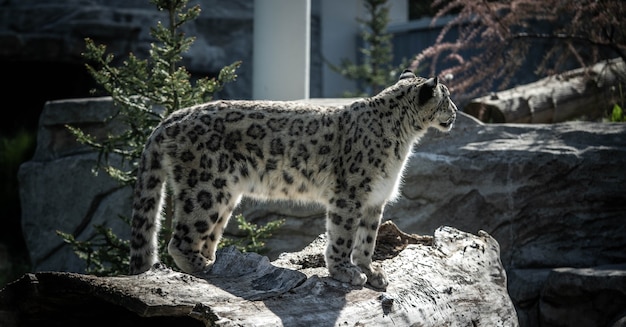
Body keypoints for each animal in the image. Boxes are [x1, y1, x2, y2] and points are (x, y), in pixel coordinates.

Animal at [129, 70, 456, 290]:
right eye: (447, 97)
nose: (455, 112)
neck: (405, 139)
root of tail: (171, 117)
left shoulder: (375, 199)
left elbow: (367, 239)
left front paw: (371, 271)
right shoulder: (349, 195)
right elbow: (343, 236)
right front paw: (345, 271)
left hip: (225, 195)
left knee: (208, 234)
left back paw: (212, 260)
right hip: (205, 188)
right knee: (179, 239)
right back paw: (203, 267)